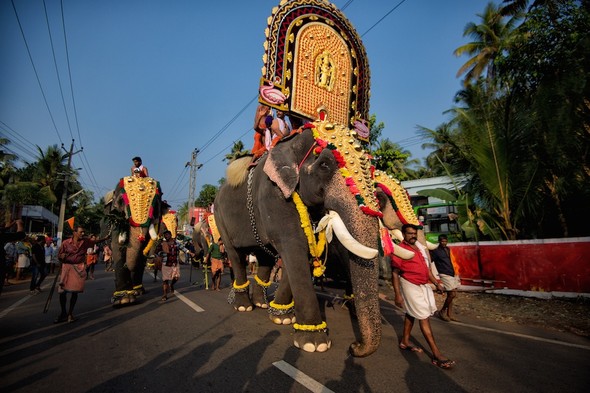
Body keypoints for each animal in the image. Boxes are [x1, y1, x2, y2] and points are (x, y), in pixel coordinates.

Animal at [104, 175, 164, 306]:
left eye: (156, 207)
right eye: (120, 202)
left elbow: (140, 254)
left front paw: (130, 295)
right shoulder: (115, 220)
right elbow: (117, 248)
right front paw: (124, 300)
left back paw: (137, 290)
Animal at [215, 121, 414, 356]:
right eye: (325, 165)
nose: (354, 347)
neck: (294, 141)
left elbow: (305, 252)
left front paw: (282, 317)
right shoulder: (273, 194)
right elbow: (294, 247)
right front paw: (313, 342)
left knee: (265, 257)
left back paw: (262, 304)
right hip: (219, 218)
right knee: (235, 255)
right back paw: (243, 306)